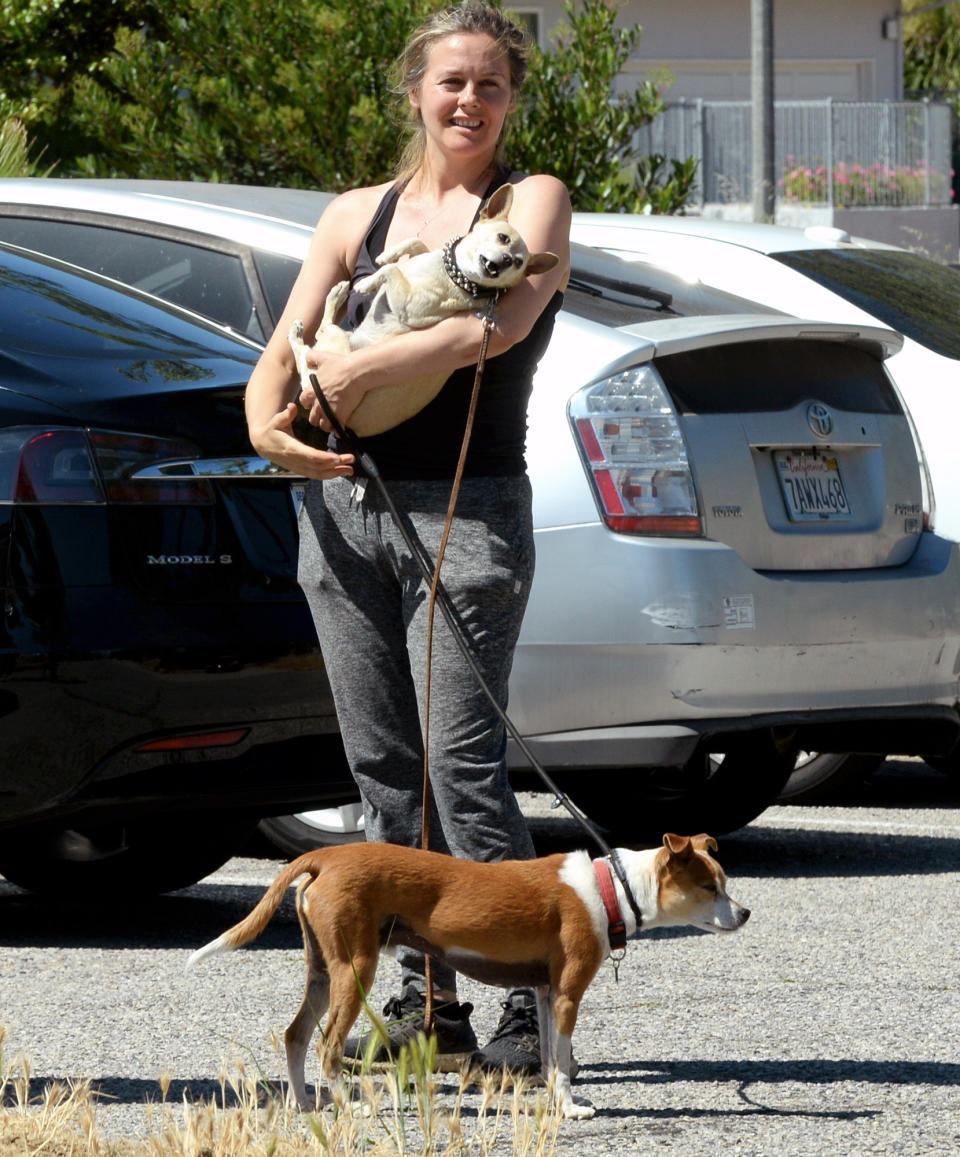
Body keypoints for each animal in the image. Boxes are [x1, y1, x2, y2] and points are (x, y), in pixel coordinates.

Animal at [186, 837, 744, 1115]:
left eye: (724, 882)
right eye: (708, 887)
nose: (745, 913)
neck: (610, 889)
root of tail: (324, 856)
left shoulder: (545, 992)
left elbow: (548, 1058)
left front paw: (552, 1100)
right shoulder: (568, 994)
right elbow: (562, 1061)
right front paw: (569, 1108)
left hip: (323, 970)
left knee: (296, 1035)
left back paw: (305, 1103)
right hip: (355, 968)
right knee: (326, 1046)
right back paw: (351, 1105)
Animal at [288, 185, 555, 437]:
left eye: (519, 263)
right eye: (503, 237)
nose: (507, 261)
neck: (456, 275)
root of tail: (345, 427)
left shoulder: (410, 306)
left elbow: (392, 271)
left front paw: (368, 282)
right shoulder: (423, 257)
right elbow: (415, 244)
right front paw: (388, 255)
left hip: (334, 347)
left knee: (310, 348)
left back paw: (301, 329)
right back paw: (337, 295)